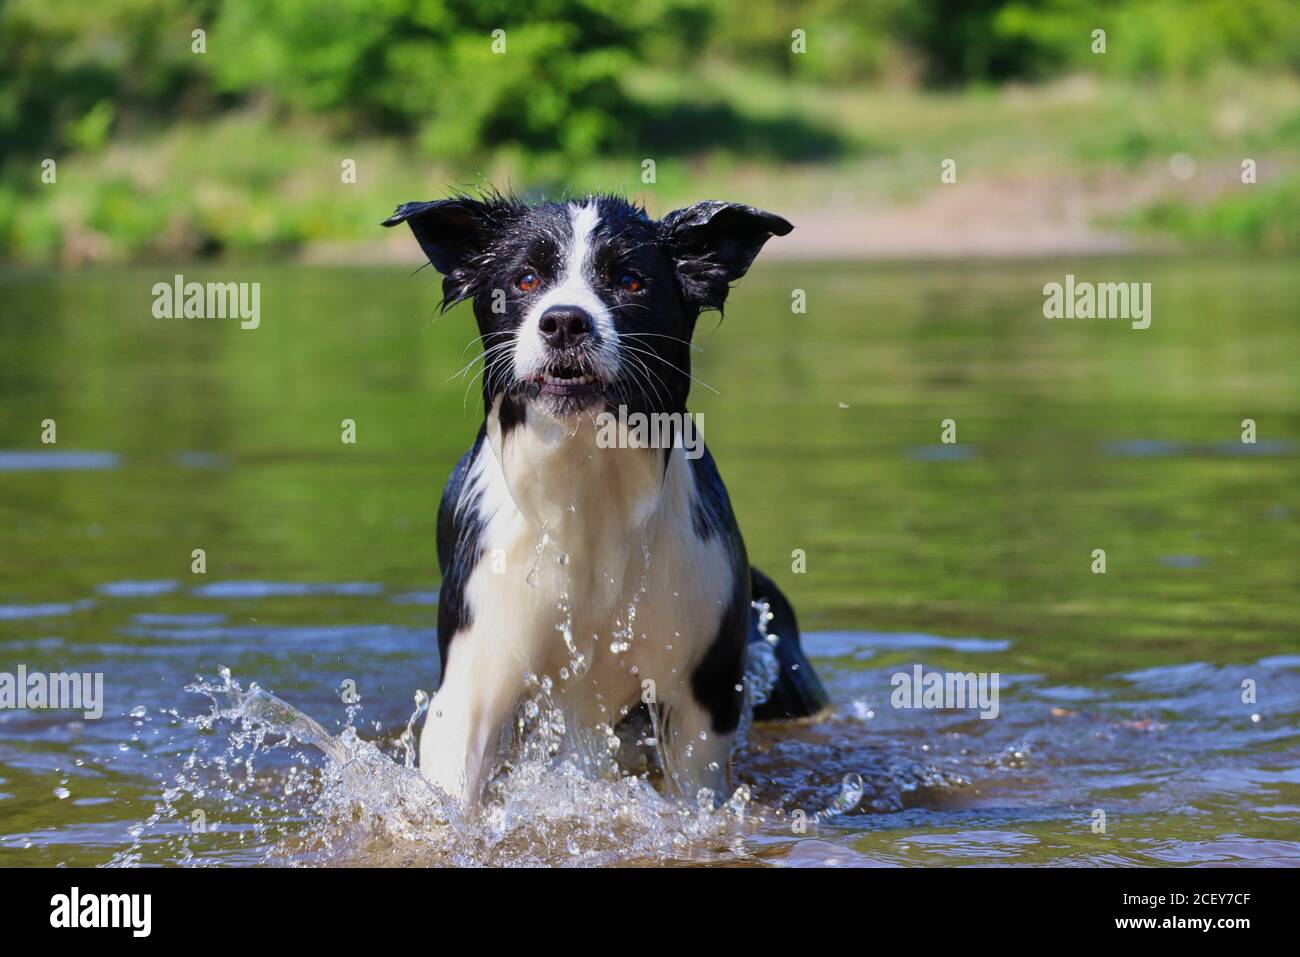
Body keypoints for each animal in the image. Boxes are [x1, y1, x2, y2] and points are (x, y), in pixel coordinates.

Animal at [384, 192, 826, 806]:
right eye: (525, 279)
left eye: (630, 281)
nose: (564, 321)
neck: (585, 483)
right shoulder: (477, 673)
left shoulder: (699, 690)